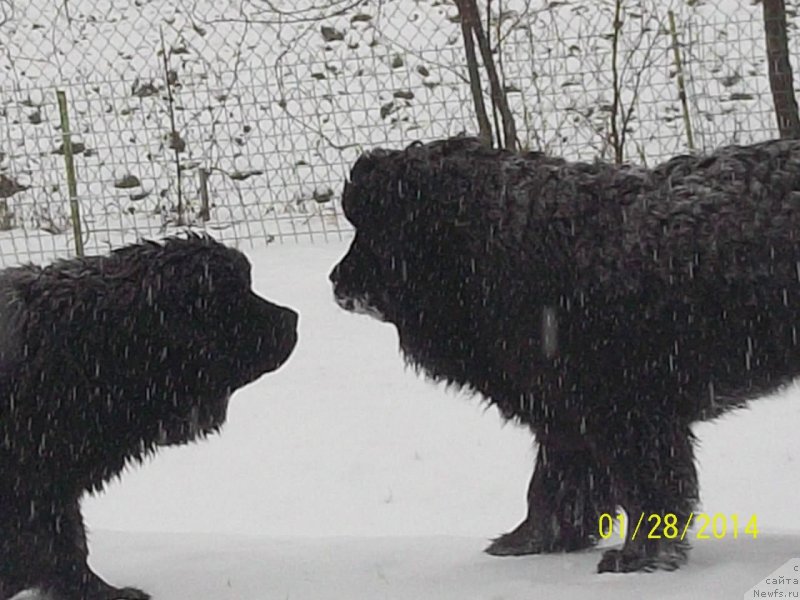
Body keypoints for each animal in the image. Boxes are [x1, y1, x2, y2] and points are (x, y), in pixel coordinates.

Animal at [328, 136, 800, 572]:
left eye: (377, 229)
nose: (335, 279)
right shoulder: (564, 415)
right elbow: (555, 487)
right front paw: (535, 539)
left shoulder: (627, 413)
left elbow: (646, 488)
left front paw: (641, 555)